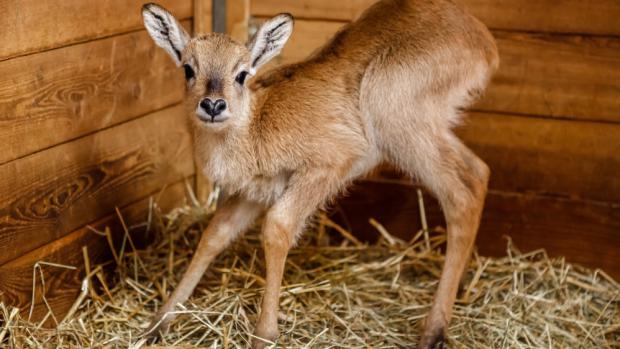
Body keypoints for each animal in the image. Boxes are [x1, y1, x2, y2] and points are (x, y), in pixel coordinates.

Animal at [142, 1, 498, 346]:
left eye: (241, 74)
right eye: (189, 68)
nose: (213, 105)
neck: (257, 127)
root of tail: (484, 42)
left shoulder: (328, 165)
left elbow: (277, 227)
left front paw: (264, 334)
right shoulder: (255, 192)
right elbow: (215, 234)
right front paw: (157, 323)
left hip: (399, 123)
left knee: (464, 189)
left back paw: (432, 332)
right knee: (478, 171)